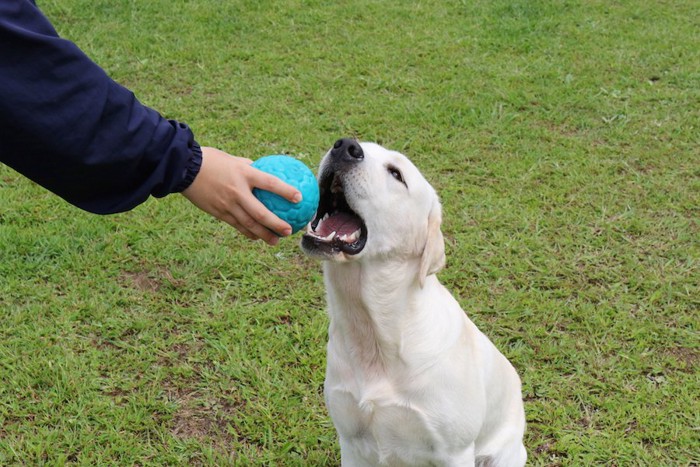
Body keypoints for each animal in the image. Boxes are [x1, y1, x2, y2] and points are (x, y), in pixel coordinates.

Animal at [300, 140, 524, 467]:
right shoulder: (351, 443)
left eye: (396, 174)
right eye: (356, 145)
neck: (374, 329)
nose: (345, 146)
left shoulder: (455, 452)